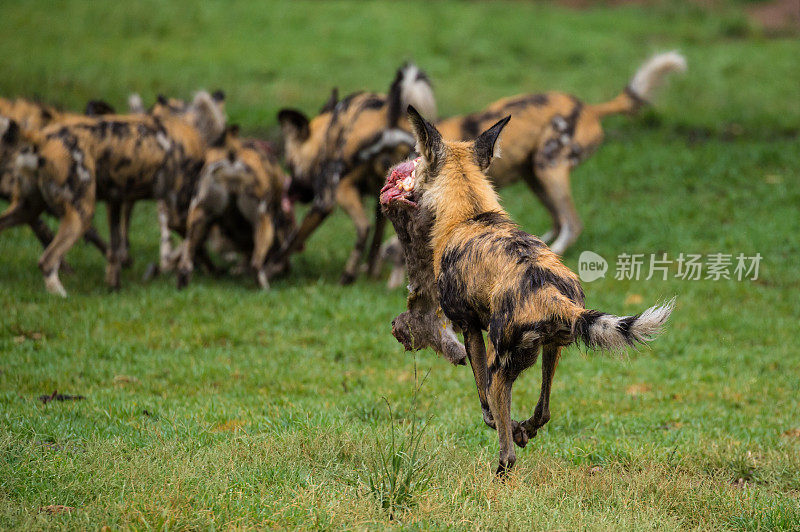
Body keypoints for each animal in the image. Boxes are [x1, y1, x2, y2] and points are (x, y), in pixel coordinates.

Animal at [0, 93, 225, 298]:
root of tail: (40, 137)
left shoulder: (115, 202)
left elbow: (115, 251)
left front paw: (114, 287)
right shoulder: (179, 215)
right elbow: (193, 245)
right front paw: (191, 274)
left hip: (27, 209)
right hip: (81, 214)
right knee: (47, 261)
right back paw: (62, 296)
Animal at [177, 124, 296, 288]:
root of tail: (232, 156)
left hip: (196, 222)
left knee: (185, 262)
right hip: (264, 223)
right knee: (256, 264)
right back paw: (264, 286)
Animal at [276, 61, 438, 284]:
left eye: (290, 164)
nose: (291, 191)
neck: (326, 135)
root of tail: (388, 117)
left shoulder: (323, 201)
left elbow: (292, 240)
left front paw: (271, 268)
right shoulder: (384, 200)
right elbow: (376, 245)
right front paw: (372, 273)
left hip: (339, 191)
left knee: (363, 227)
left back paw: (347, 275)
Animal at [382, 105, 676, 474]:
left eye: (417, 167)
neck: (470, 213)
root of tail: (548, 293)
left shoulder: (468, 330)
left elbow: (485, 404)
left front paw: (502, 423)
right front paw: (519, 428)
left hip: (502, 364)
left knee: (506, 448)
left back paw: (501, 470)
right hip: (554, 346)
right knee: (544, 410)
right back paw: (526, 430)